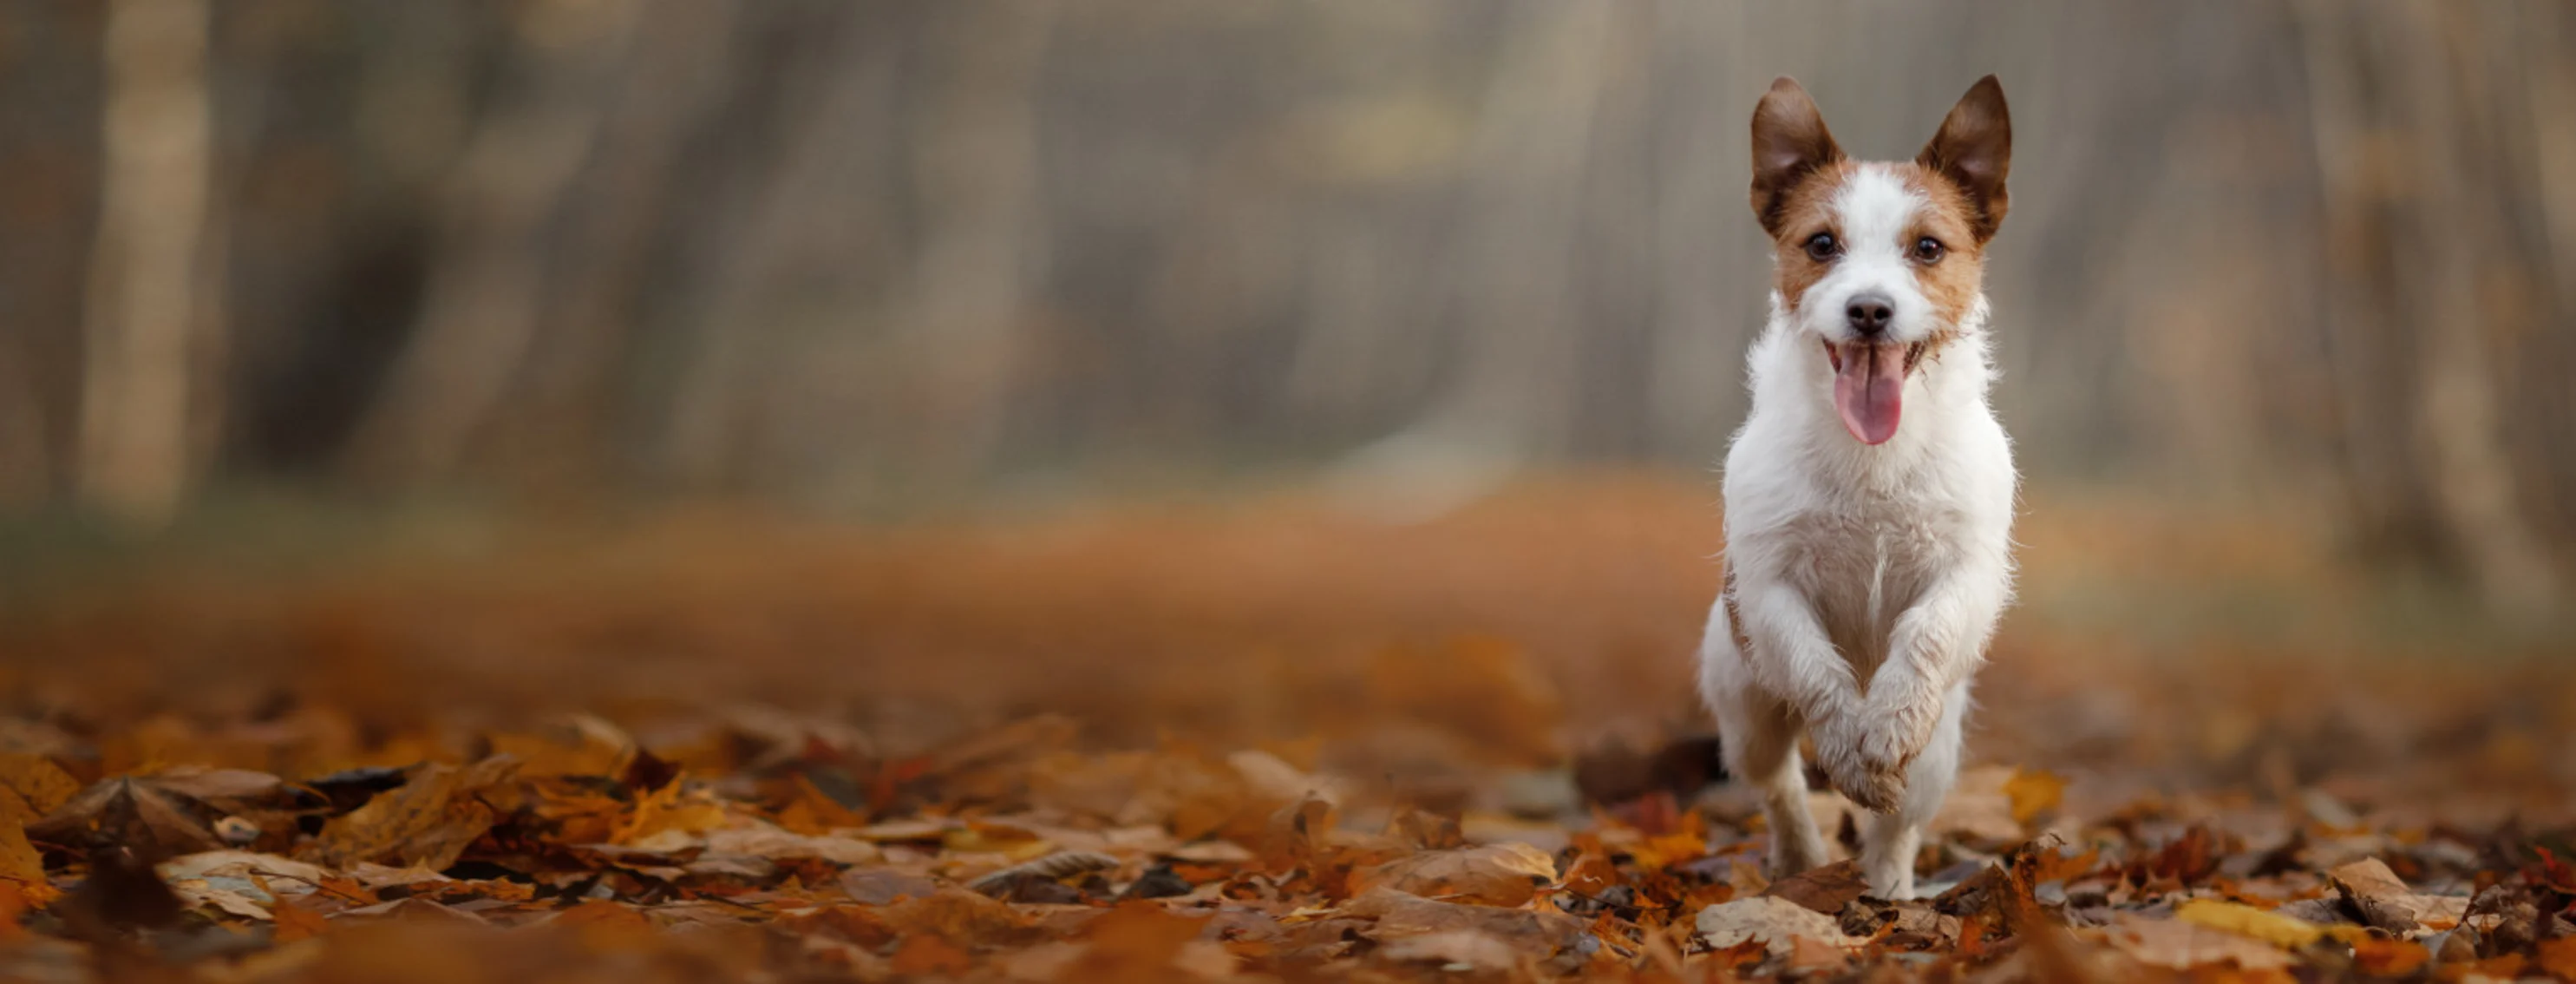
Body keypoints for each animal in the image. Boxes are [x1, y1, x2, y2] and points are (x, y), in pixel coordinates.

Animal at [1700, 76, 2019, 902]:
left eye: (1928, 248)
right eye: (1821, 244)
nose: (1870, 309)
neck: (1873, 459)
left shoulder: (1967, 571)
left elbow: (1927, 633)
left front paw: (1887, 724)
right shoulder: (1770, 586)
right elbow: (1816, 669)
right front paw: (1849, 742)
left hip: (1940, 756)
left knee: (1896, 825)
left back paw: (1887, 894)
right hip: (1745, 704)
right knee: (1779, 783)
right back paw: (1799, 860)